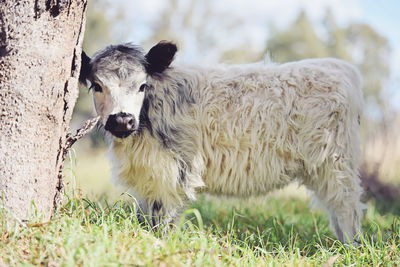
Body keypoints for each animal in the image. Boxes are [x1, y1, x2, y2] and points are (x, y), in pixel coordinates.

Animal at [79, 40, 364, 244]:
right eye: (97, 86)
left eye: (141, 85)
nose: (122, 120)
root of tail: (341, 68)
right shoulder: (147, 180)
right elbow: (145, 218)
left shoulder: (173, 175)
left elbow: (163, 222)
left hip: (336, 164)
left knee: (347, 207)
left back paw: (350, 249)